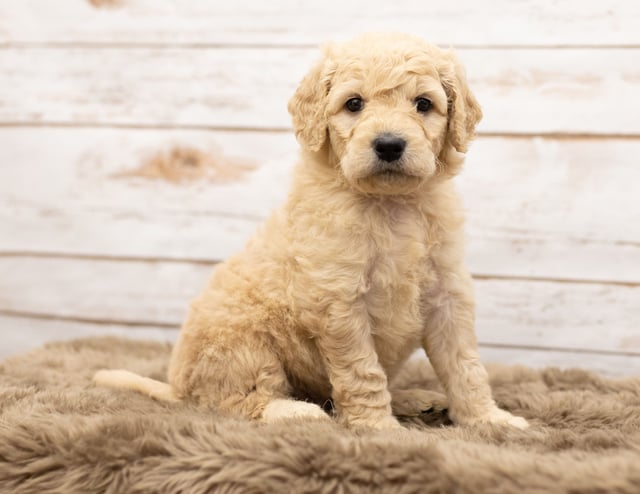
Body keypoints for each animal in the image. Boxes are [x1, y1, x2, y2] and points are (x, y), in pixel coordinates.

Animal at [94, 32, 524, 430]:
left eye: (423, 104)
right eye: (354, 104)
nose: (388, 145)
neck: (390, 204)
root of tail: (178, 386)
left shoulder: (446, 294)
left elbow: (465, 365)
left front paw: (488, 419)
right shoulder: (340, 302)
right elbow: (363, 373)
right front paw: (379, 428)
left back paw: (414, 399)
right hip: (242, 345)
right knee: (237, 402)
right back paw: (297, 411)